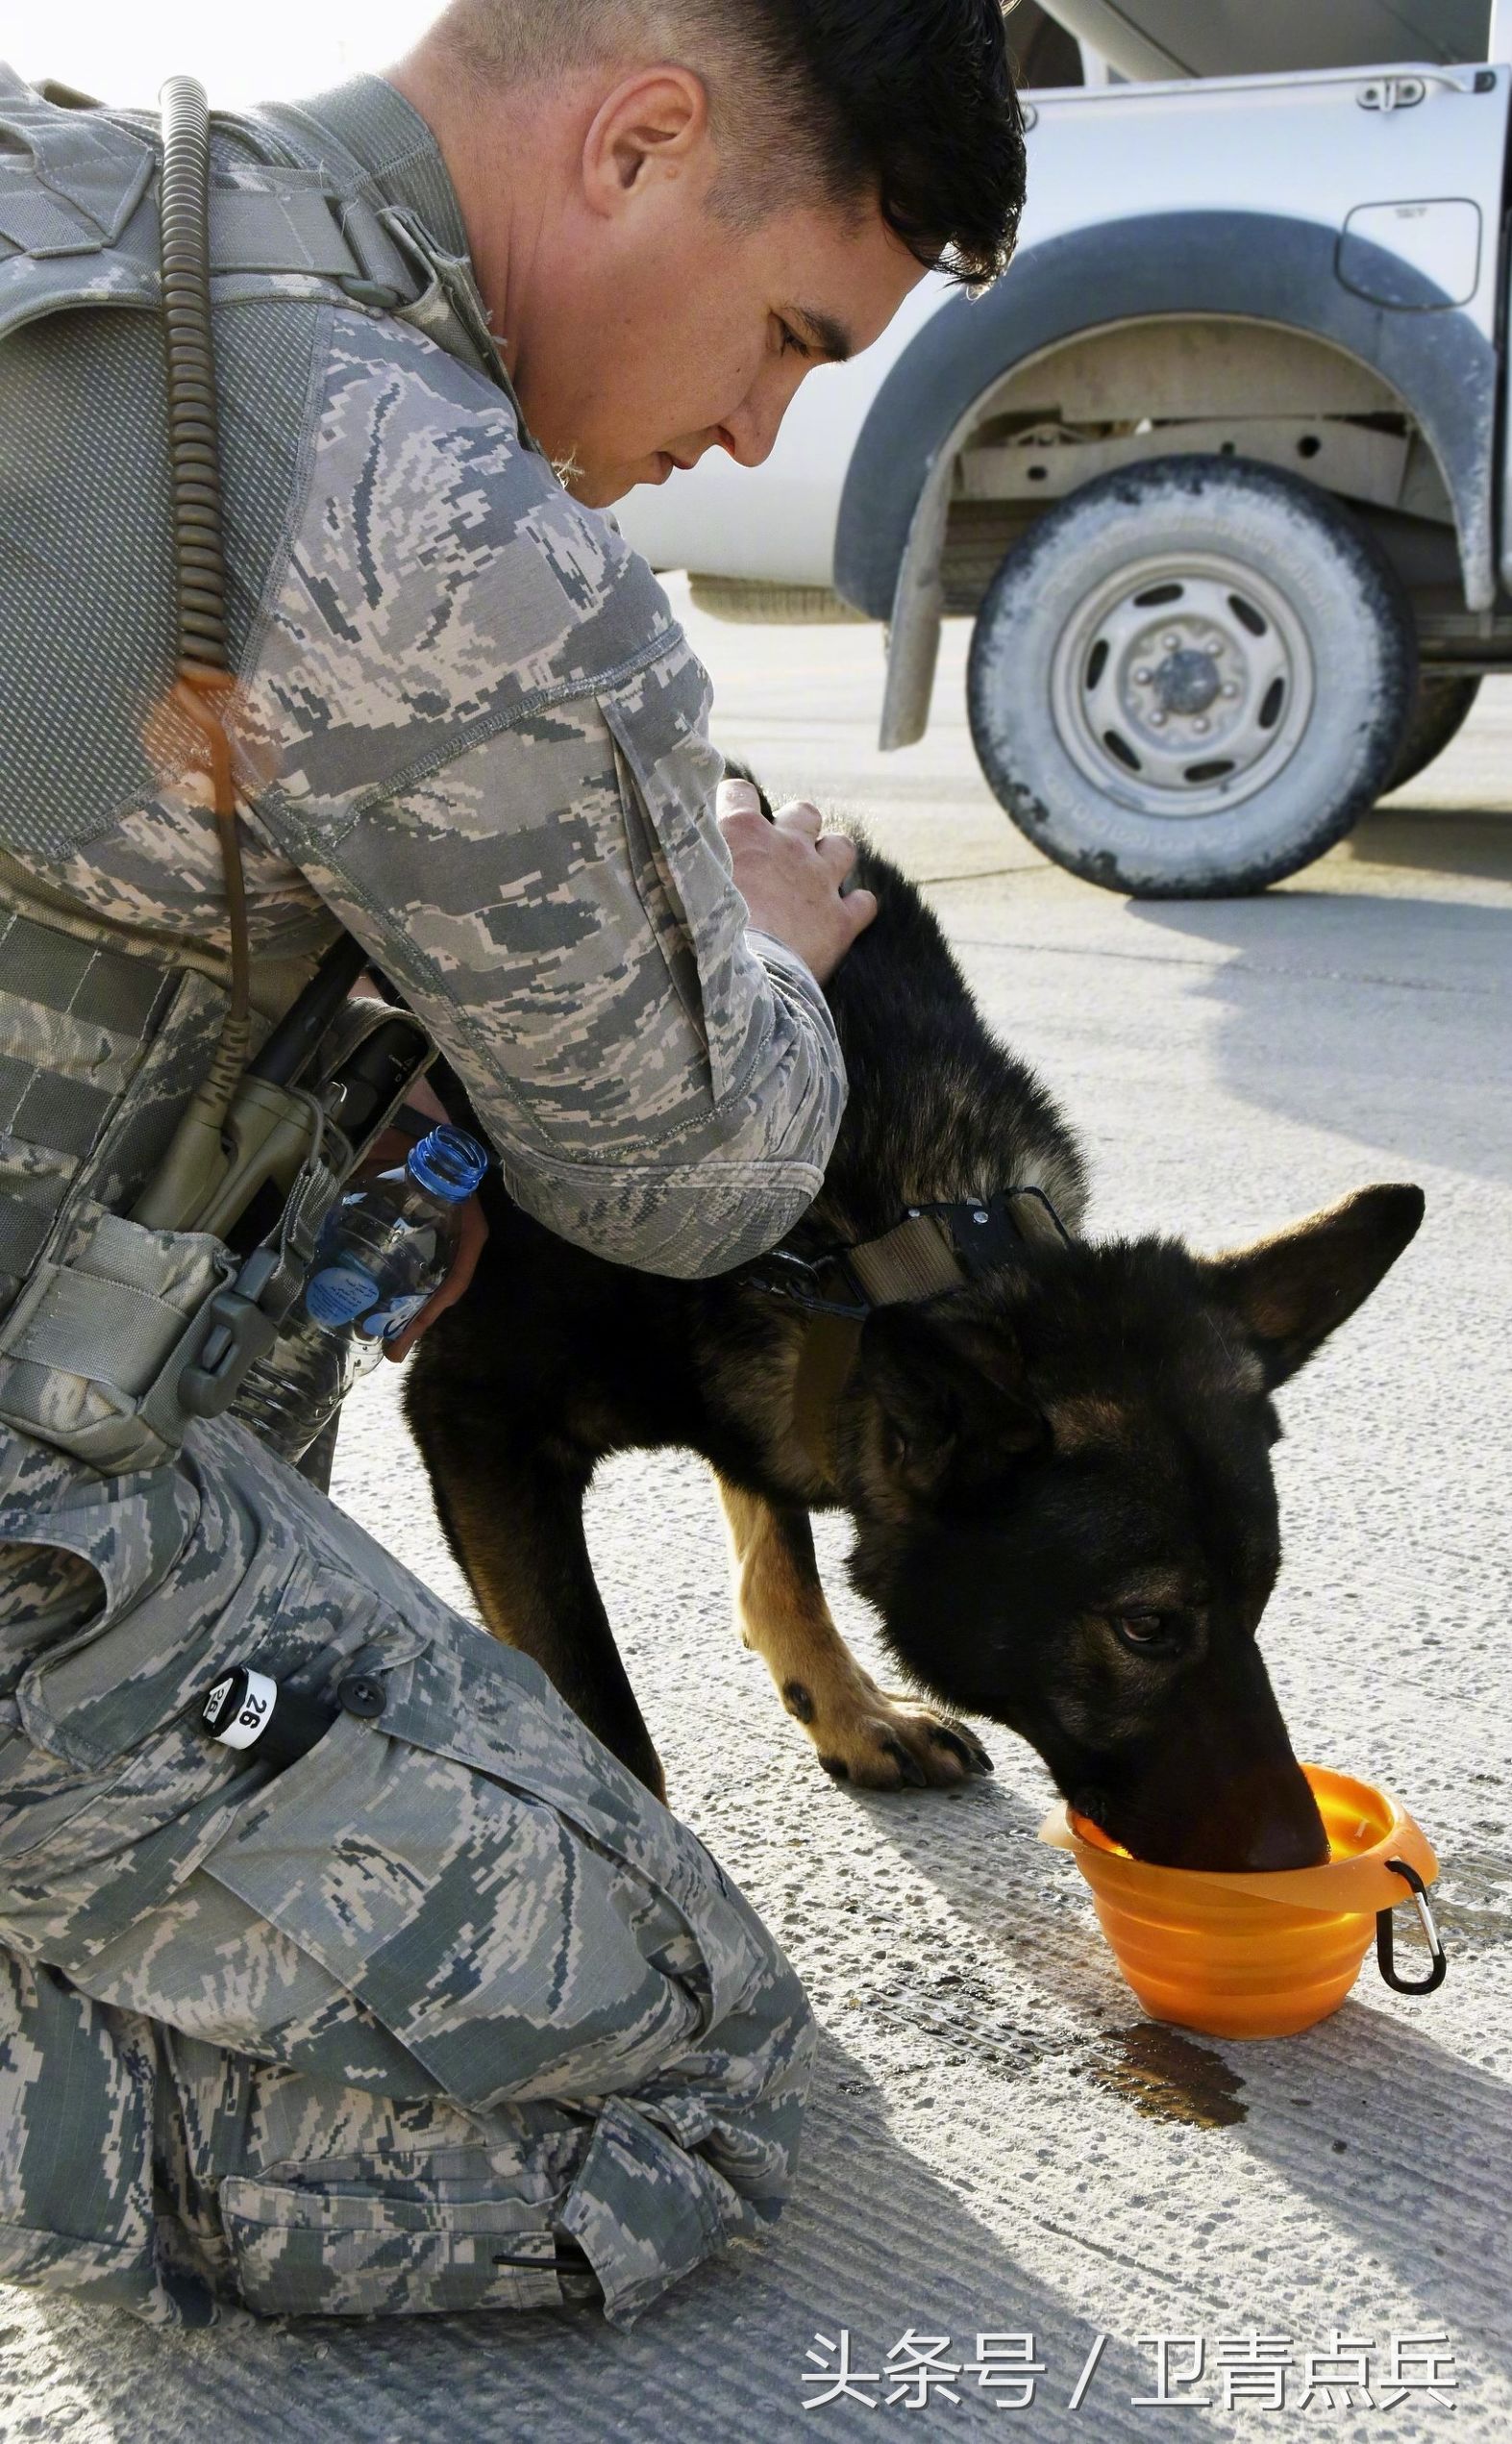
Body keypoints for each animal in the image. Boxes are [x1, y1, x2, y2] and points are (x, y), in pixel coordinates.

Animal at [408, 821, 1426, 1867]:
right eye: (1146, 1626)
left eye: (1260, 1595)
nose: (1308, 1856)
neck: (901, 1222)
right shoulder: (482, 1422)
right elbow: (606, 1727)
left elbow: (780, 1555)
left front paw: (850, 1707)